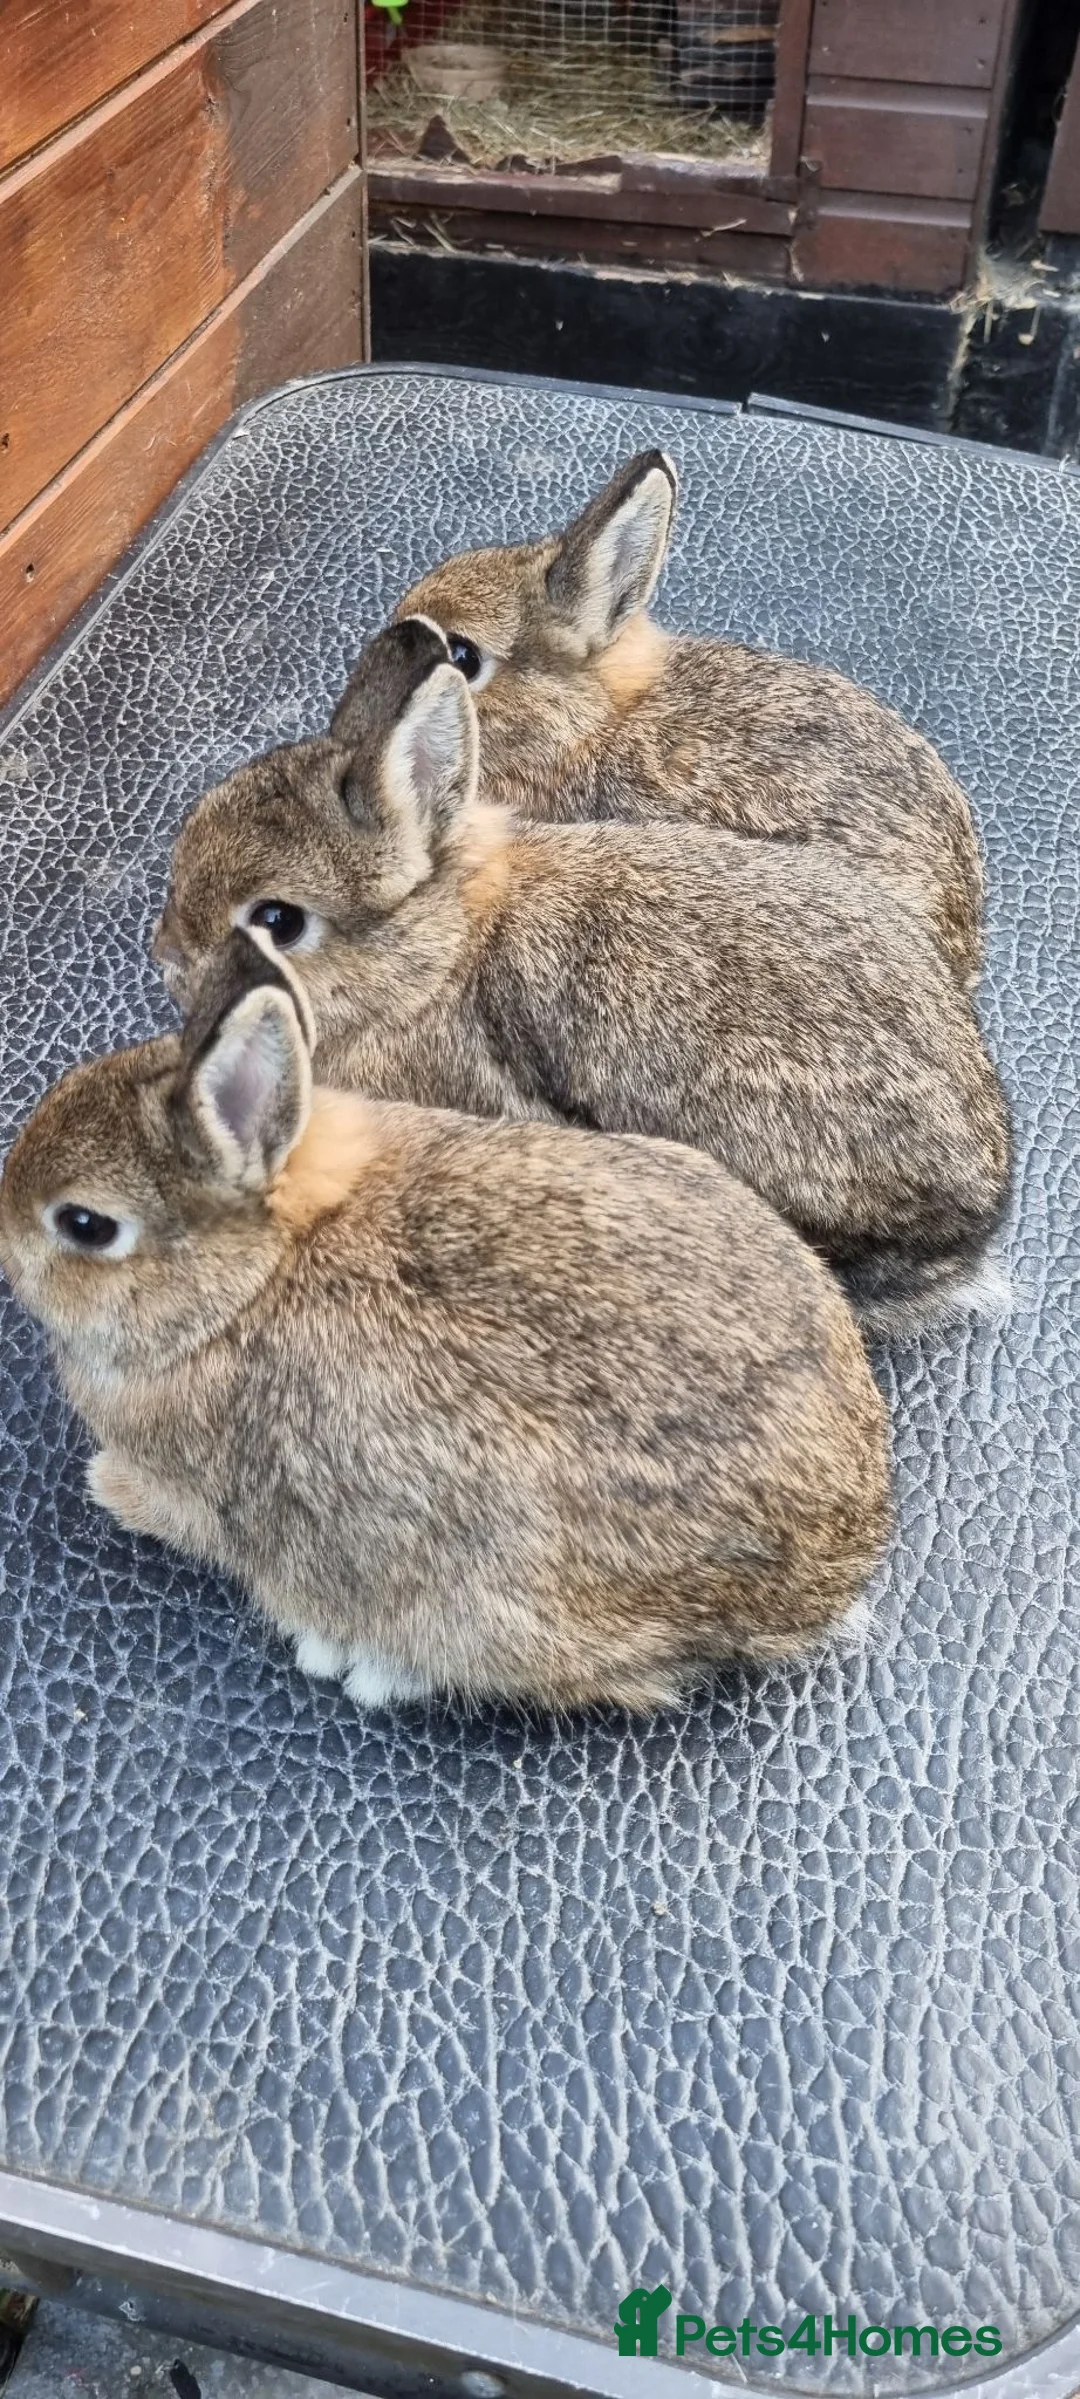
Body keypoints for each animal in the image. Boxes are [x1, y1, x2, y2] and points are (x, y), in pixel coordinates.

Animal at [0, 932, 891, 1714]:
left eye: (84, 1225)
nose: (5, 1245)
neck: (253, 1279)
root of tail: (836, 1564)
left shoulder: (198, 1489)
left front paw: (105, 1484)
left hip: (494, 1605)